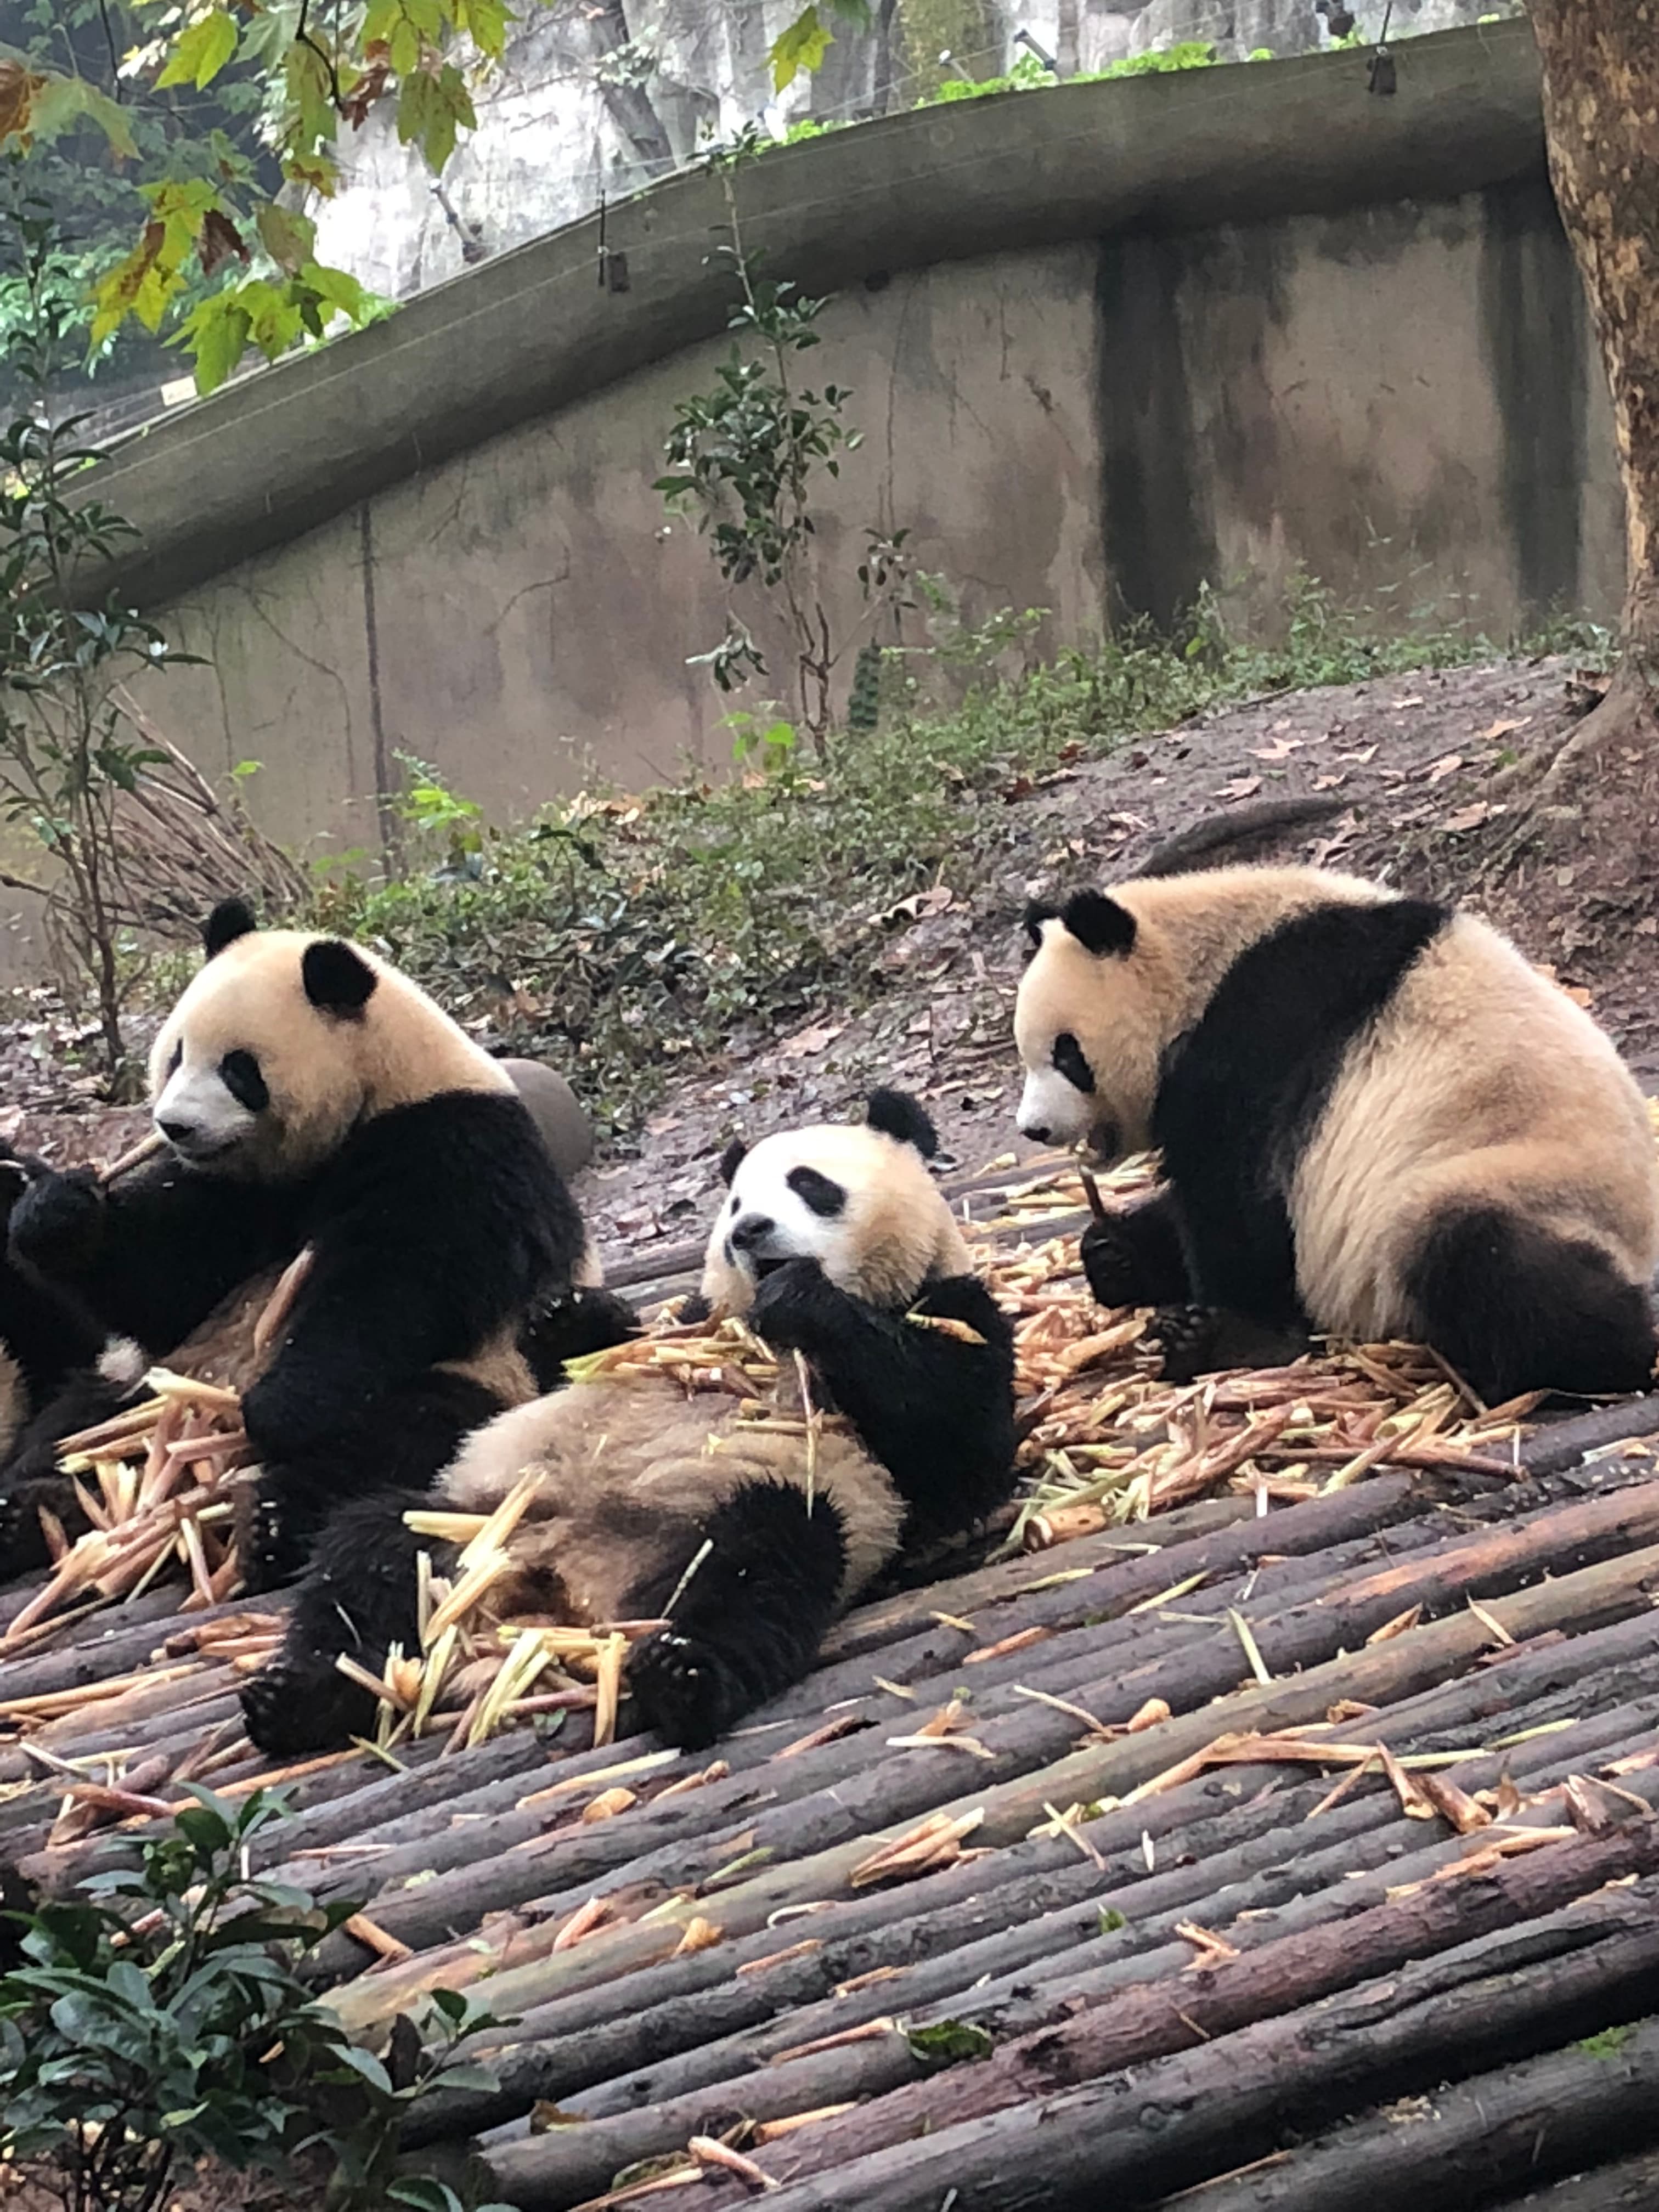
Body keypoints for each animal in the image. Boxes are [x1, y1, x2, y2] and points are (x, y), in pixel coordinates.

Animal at [0, 898, 622, 1584]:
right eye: (176, 1055)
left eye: (238, 1068)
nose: (174, 1126)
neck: (379, 1088)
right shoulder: (233, 1192)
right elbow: (165, 1280)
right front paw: (54, 1212)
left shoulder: (453, 1142)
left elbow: (404, 1280)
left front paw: (281, 1405)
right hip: (142, 1386)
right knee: (74, 1427)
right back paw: (31, 1512)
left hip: (489, 1369)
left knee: (396, 1436)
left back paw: (268, 1520)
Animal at [238, 1088, 1019, 1757]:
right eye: (735, 1202)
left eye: (810, 1183)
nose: (749, 1231)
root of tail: (564, 1592)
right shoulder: (680, 1321)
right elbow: (581, 1360)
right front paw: (565, 1315)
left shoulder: (951, 1311)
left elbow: (954, 1443)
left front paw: (803, 1299)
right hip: (478, 1520)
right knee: (371, 1552)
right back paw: (300, 1694)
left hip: (719, 1520)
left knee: (762, 1562)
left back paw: (685, 1676)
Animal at [1015, 865, 1659, 1401]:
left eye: (1066, 1054)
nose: (1034, 1129)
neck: (1200, 960)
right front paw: (1114, 1253)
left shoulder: (1261, 1029)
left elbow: (1233, 1193)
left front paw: (1227, 1335)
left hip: (1526, 1180)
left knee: (1476, 1252)